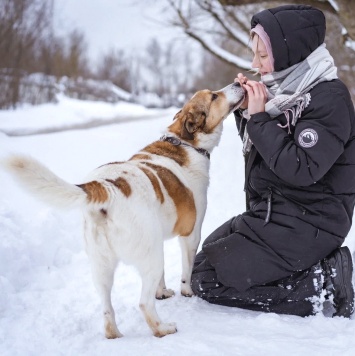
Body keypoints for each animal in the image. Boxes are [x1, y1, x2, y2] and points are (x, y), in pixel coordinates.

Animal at [2, 82, 246, 338]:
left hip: (103, 265)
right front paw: (186, 291)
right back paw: (163, 328)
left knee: (107, 307)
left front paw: (162, 292)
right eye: (214, 96)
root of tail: (105, 187)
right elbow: (186, 270)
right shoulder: (191, 233)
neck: (184, 142)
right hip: (150, 256)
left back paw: (114, 333)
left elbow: (161, 279)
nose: (238, 83)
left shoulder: (159, 237)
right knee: (144, 303)